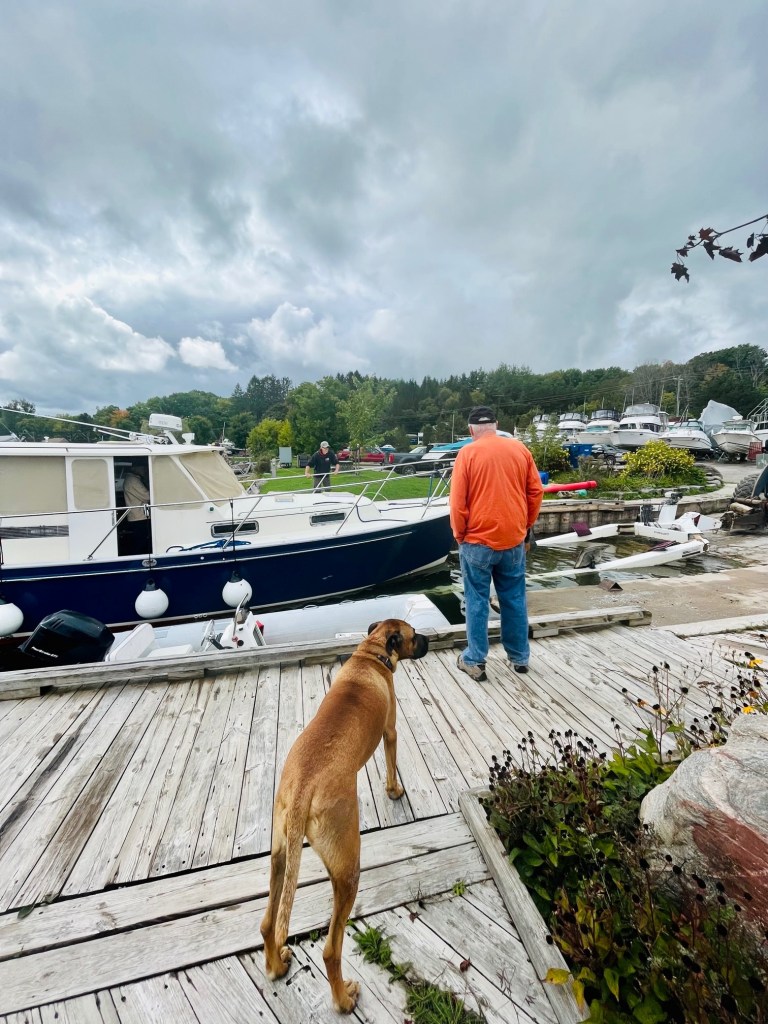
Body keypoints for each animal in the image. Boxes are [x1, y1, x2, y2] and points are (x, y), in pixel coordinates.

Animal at [260, 618, 429, 1012]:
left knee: (268, 922)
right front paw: (394, 791)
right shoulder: (390, 731)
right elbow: (391, 765)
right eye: (414, 635)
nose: (428, 639)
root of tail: (302, 792)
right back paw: (343, 999)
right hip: (347, 871)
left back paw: (277, 966)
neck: (372, 653)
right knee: (330, 950)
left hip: (280, 856)